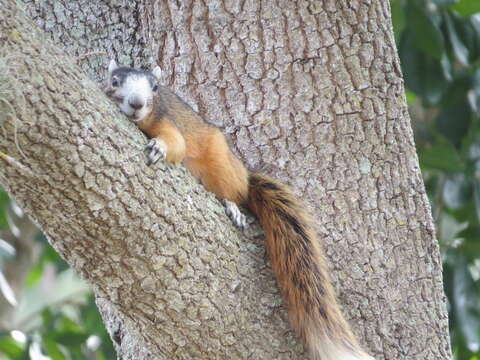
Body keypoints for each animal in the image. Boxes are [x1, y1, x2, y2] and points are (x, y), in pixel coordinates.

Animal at [105, 59, 376, 360]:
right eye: (115, 81)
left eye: (154, 87)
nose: (137, 103)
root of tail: (245, 177)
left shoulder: (165, 120)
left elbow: (176, 144)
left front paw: (160, 148)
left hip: (221, 163)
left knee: (233, 192)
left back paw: (232, 205)